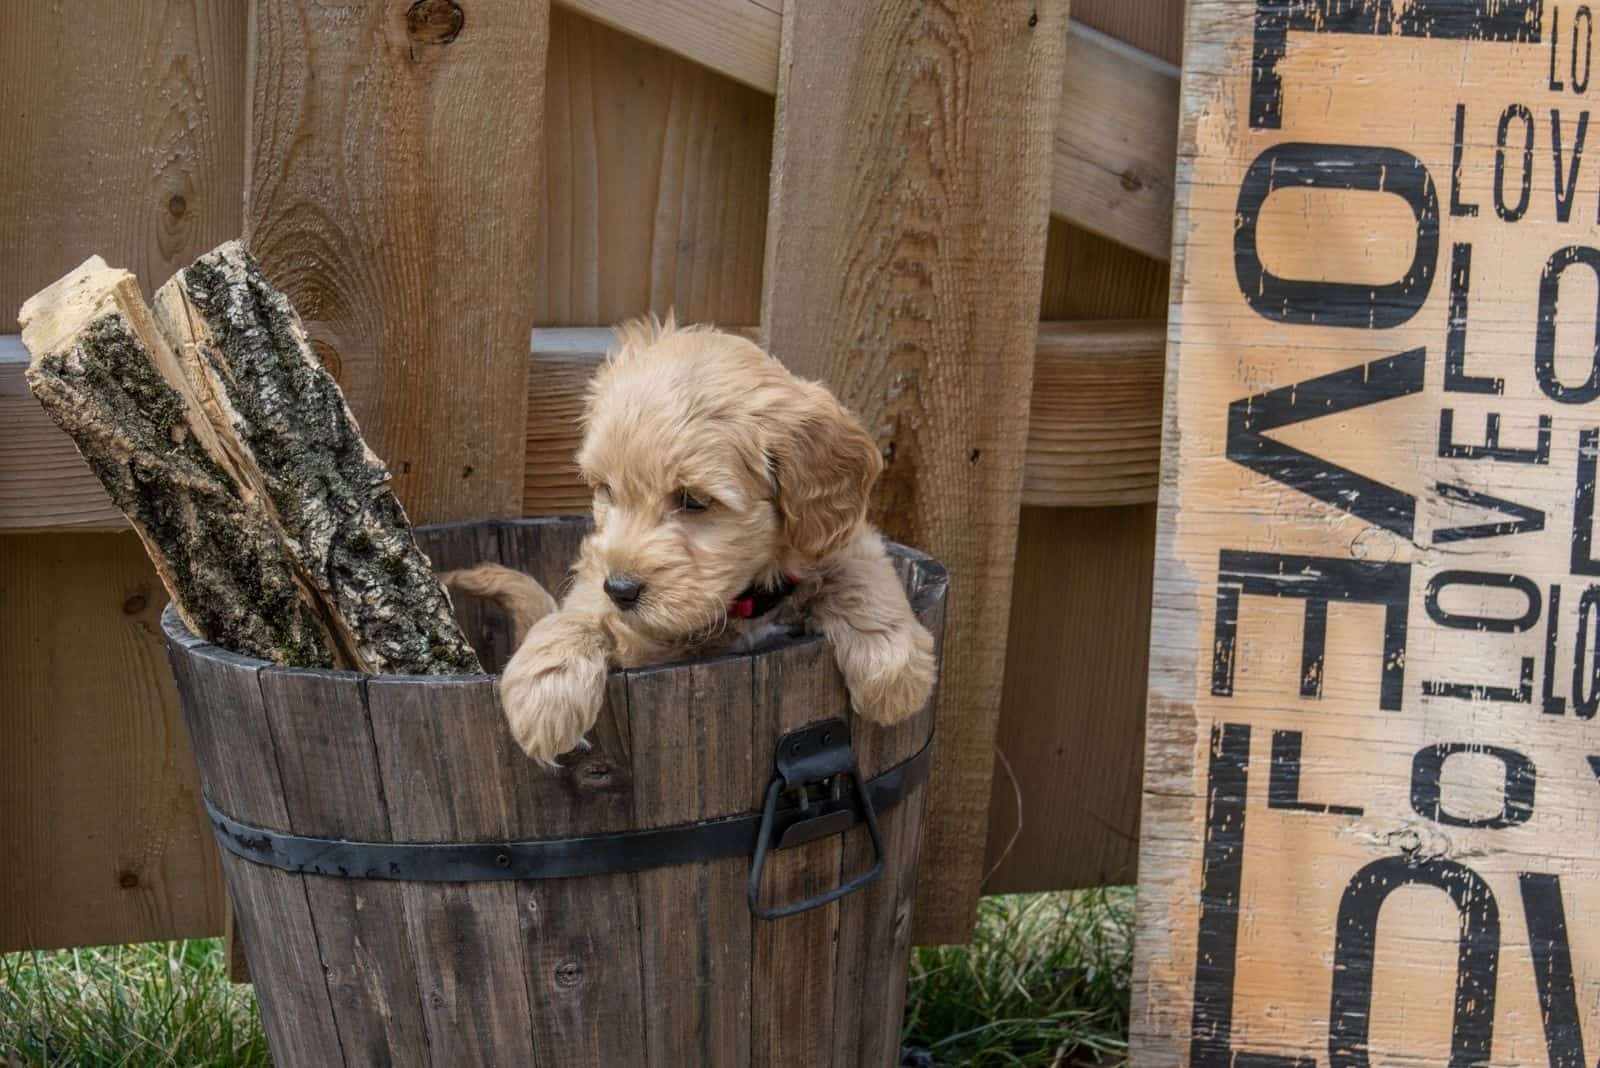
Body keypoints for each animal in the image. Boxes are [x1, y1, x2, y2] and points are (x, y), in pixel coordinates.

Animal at [444, 313, 934, 764]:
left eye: (693, 500)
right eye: (606, 491)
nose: (621, 588)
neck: (743, 604)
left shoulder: (836, 537)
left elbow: (861, 571)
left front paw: (894, 671)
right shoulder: (612, 606)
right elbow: (577, 614)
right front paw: (546, 690)